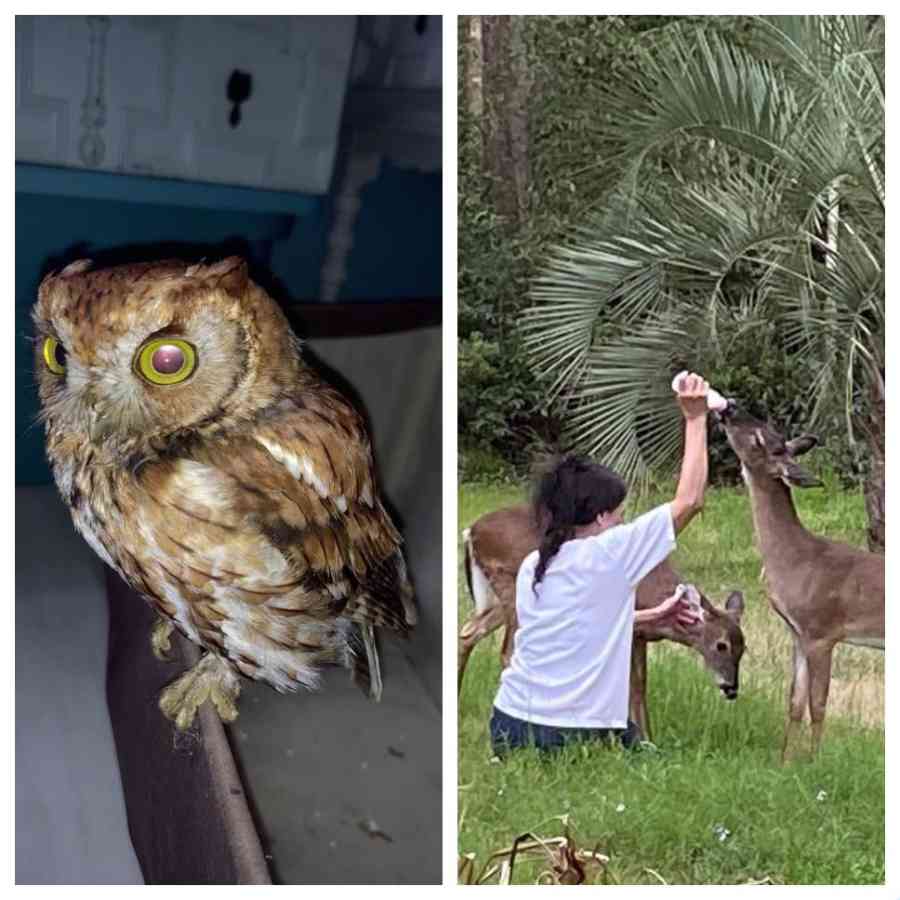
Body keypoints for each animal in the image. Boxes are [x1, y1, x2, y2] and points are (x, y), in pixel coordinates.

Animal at [719, 405, 884, 760]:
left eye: (759, 438)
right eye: (766, 429)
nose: (729, 408)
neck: (797, 559)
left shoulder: (822, 631)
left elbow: (818, 705)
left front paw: (813, 762)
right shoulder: (797, 633)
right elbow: (794, 702)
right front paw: (784, 762)